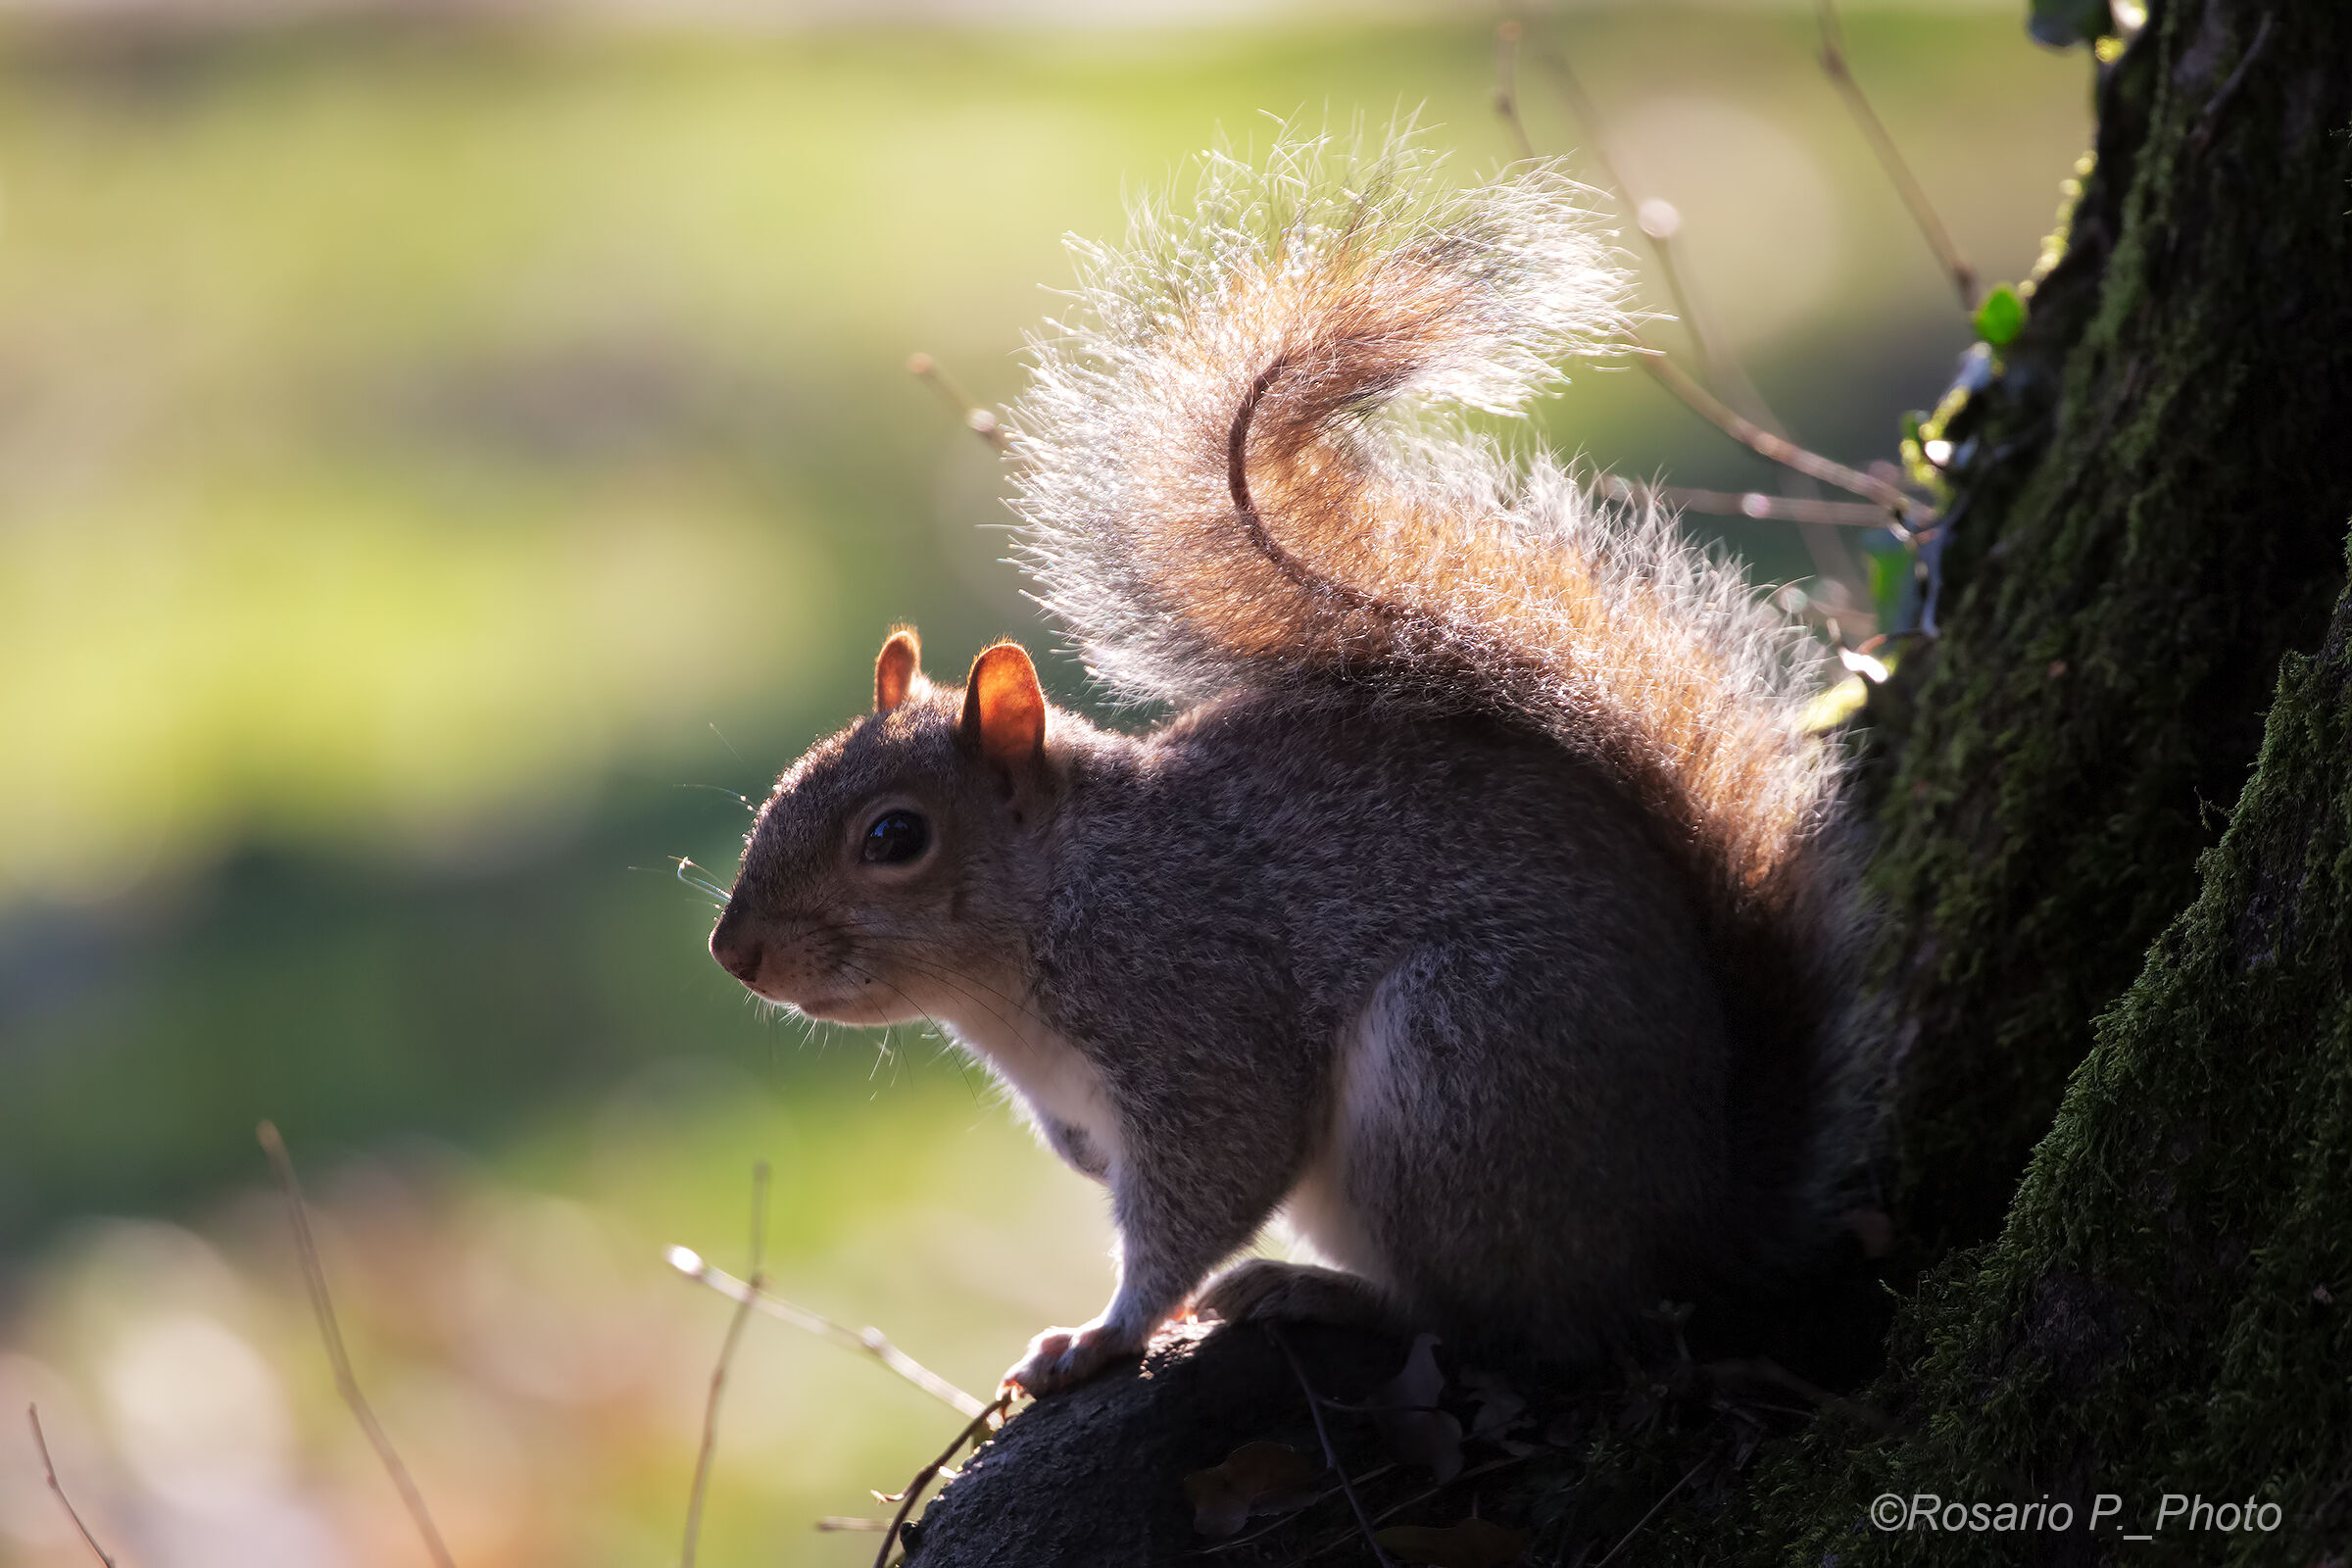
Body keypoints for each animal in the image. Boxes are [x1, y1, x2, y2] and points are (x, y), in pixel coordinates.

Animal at [708, 134, 1873, 1397]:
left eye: (894, 838)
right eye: (783, 788)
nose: (733, 953)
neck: (1039, 933)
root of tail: (1694, 1232)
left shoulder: (1198, 1012)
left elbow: (1212, 1178)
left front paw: (1105, 1332)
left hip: (1458, 1080)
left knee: (1507, 1323)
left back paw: (1323, 1292)